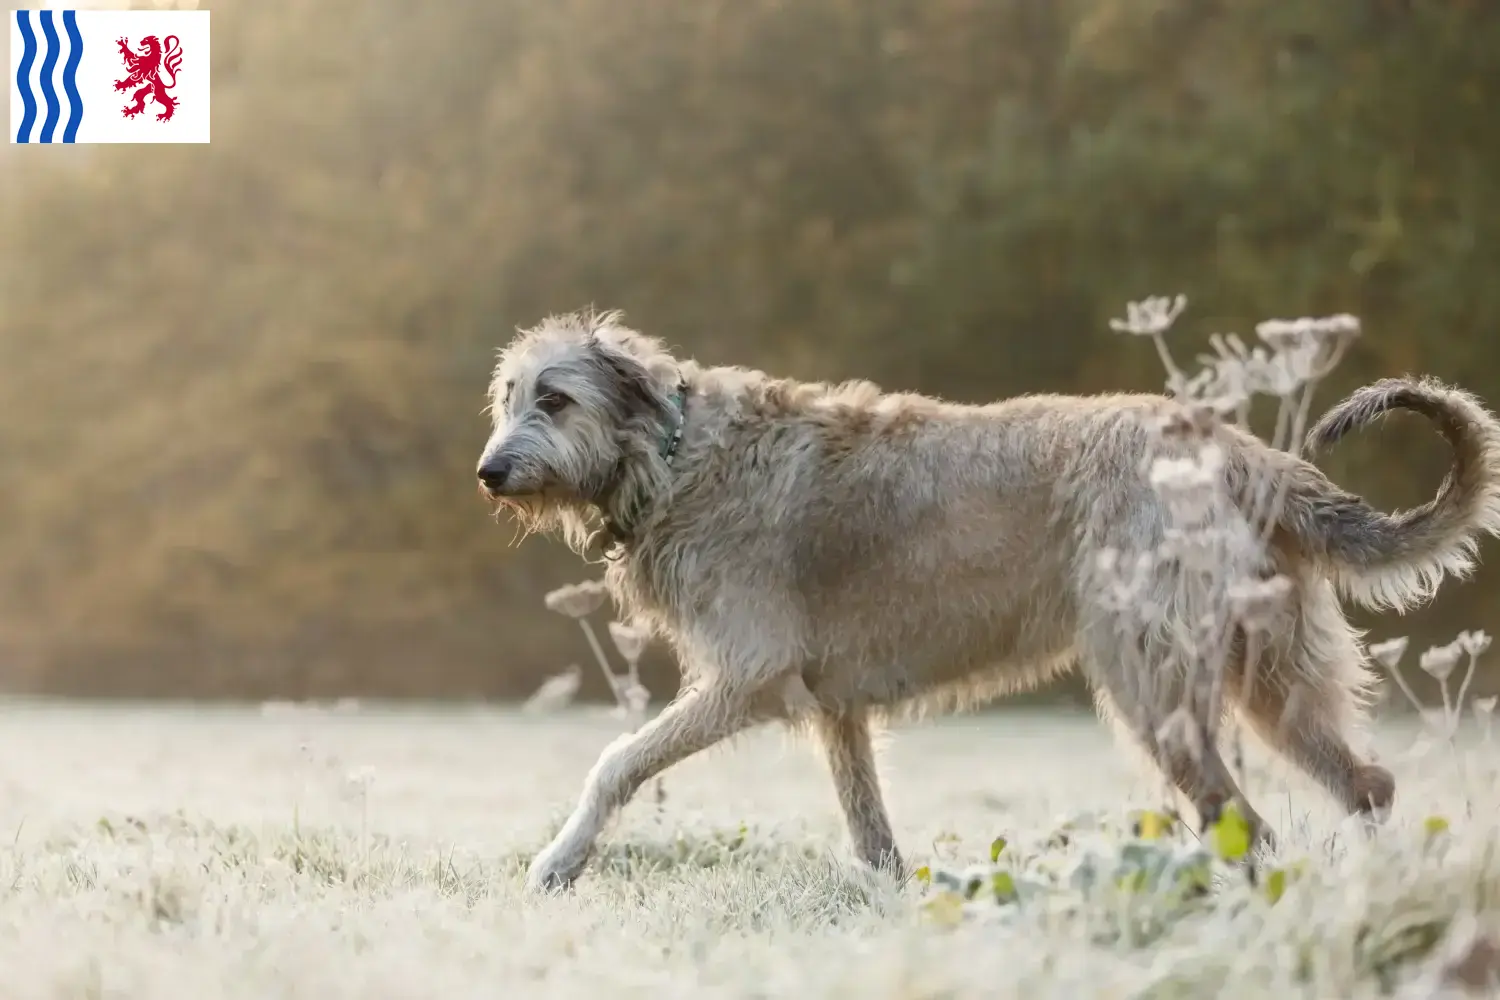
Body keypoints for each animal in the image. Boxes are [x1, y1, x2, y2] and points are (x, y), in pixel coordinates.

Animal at [477, 310, 1500, 893]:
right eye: (508, 397)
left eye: (555, 398)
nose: (488, 472)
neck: (676, 450)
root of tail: (1245, 454)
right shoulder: (837, 707)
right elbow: (871, 829)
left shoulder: (746, 677)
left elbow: (615, 763)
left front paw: (556, 863)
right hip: (1275, 682)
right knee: (1368, 784)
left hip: (1154, 686)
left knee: (1244, 822)